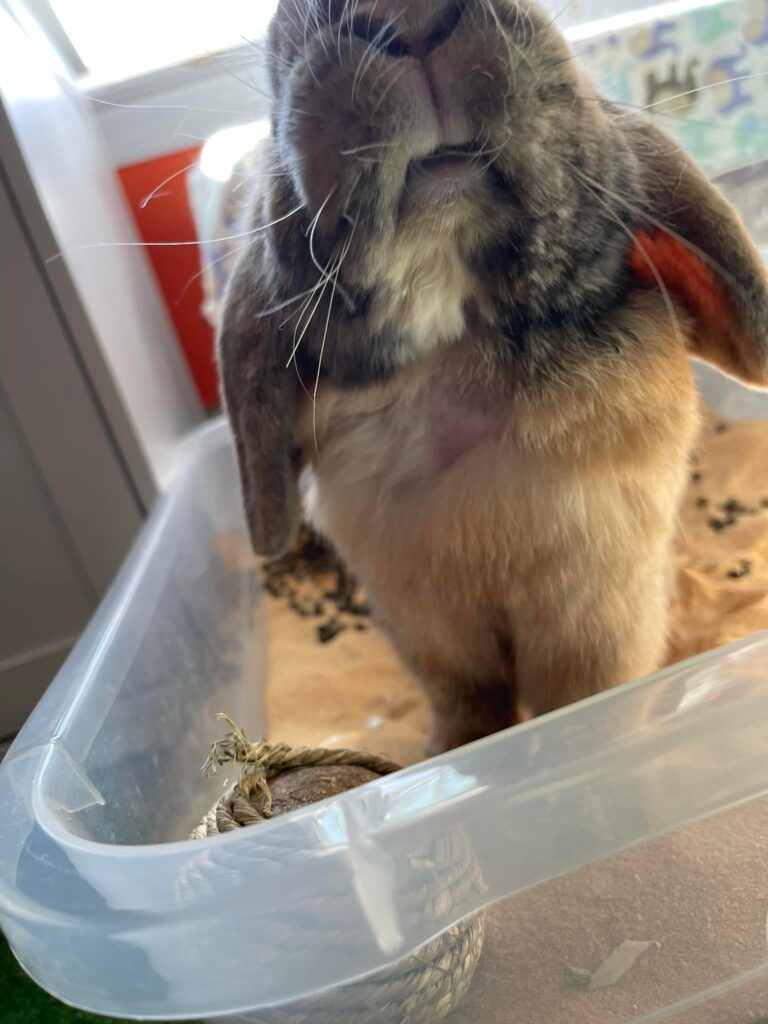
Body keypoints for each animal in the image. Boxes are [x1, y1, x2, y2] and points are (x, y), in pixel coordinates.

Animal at [218, 0, 768, 755]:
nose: (405, 13)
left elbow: (585, 702)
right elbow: (470, 705)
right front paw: (449, 758)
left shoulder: (592, 625)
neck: (456, 360)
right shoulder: (433, 635)